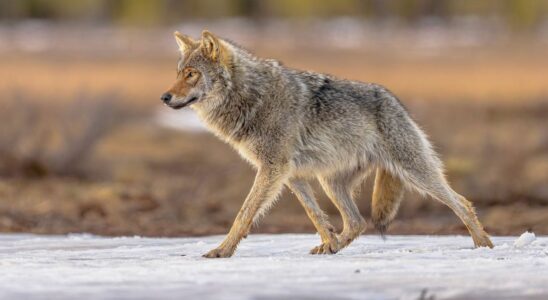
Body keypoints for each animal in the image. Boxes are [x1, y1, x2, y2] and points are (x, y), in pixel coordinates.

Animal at [161, 29, 494, 258]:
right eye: (177, 73)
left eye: (191, 74)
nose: (164, 97)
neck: (252, 97)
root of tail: (394, 99)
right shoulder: (289, 175)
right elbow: (315, 215)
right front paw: (329, 242)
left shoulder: (272, 169)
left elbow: (244, 214)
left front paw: (222, 250)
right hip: (330, 181)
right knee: (357, 222)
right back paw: (334, 247)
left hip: (415, 173)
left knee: (462, 202)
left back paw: (484, 245)